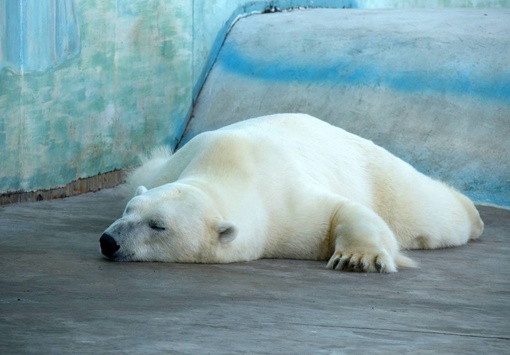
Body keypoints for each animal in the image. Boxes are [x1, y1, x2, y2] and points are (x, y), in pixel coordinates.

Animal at [98, 114, 482, 272]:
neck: (226, 166)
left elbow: (341, 211)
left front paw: (356, 258)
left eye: (158, 225)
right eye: (129, 211)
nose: (108, 241)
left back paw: (472, 215)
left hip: (380, 173)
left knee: (427, 213)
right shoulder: (171, 169)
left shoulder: (286, 203)